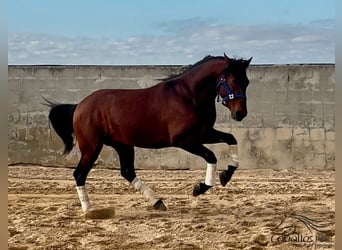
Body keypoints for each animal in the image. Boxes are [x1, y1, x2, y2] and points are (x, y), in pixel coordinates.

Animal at [44, 53, 251, 212]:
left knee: (127, 171)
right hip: (92, 147)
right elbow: (211, 155)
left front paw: (226, 174)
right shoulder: (184, 140)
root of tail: (78, 106)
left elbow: (231, 138)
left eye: (247, 81)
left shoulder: (203, 133)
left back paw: (157, 201)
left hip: (123, 145)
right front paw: (201, 187)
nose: (240, 113)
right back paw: (88, 210)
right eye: (233, 80)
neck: (188, 96)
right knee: (79, 174)